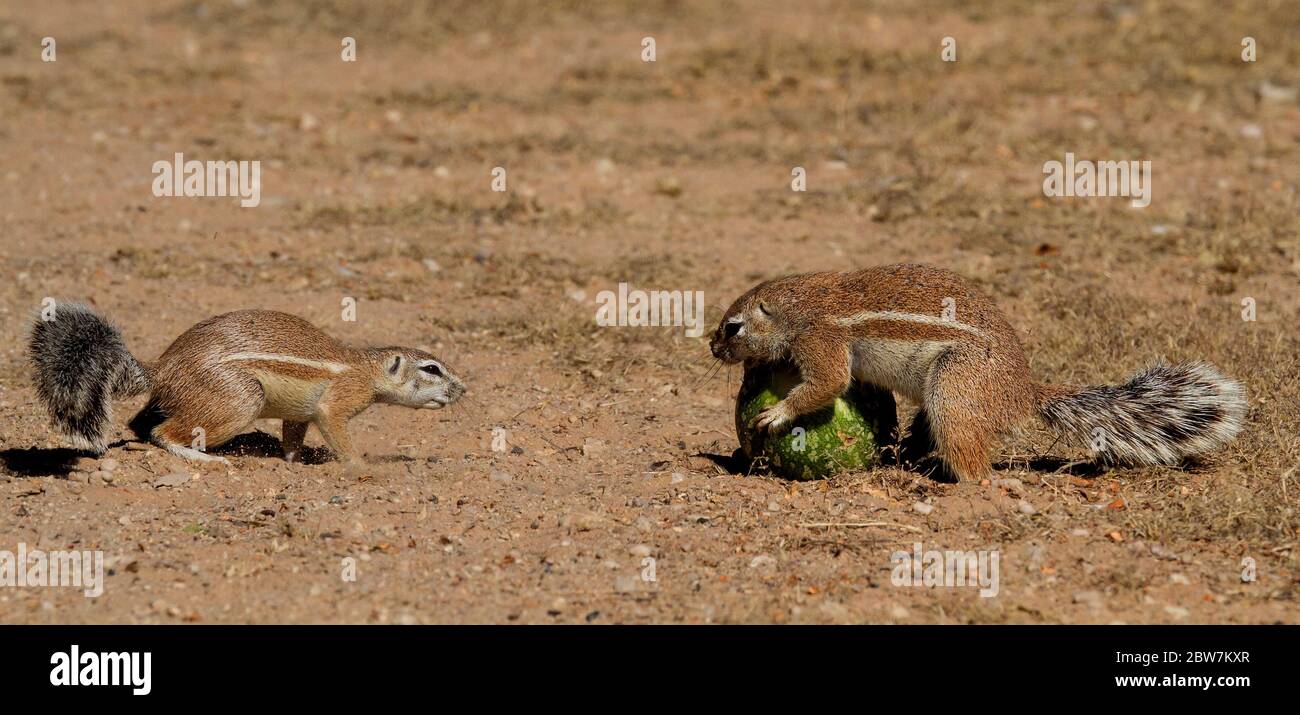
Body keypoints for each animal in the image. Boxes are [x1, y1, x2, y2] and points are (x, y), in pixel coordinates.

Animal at [26, 304, 467, 467]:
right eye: (432, 369)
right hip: (239, 398)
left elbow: (293, 436)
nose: (463, 390)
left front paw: (291, 462)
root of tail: (162, 368)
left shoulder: (299, 415)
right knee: (162, 432)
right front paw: (361, 465)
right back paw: (206, 459)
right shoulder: (340, 398)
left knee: (140, 423)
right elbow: (336, 428)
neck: (367, 368)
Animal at [712, 263, 1248, 480]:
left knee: (974, 466)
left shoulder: (820, 339)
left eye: (733, 327)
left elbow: (828, 383)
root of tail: (1022, 390)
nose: (713, 348)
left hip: (955, 387)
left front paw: (777, 412)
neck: (797, 305)